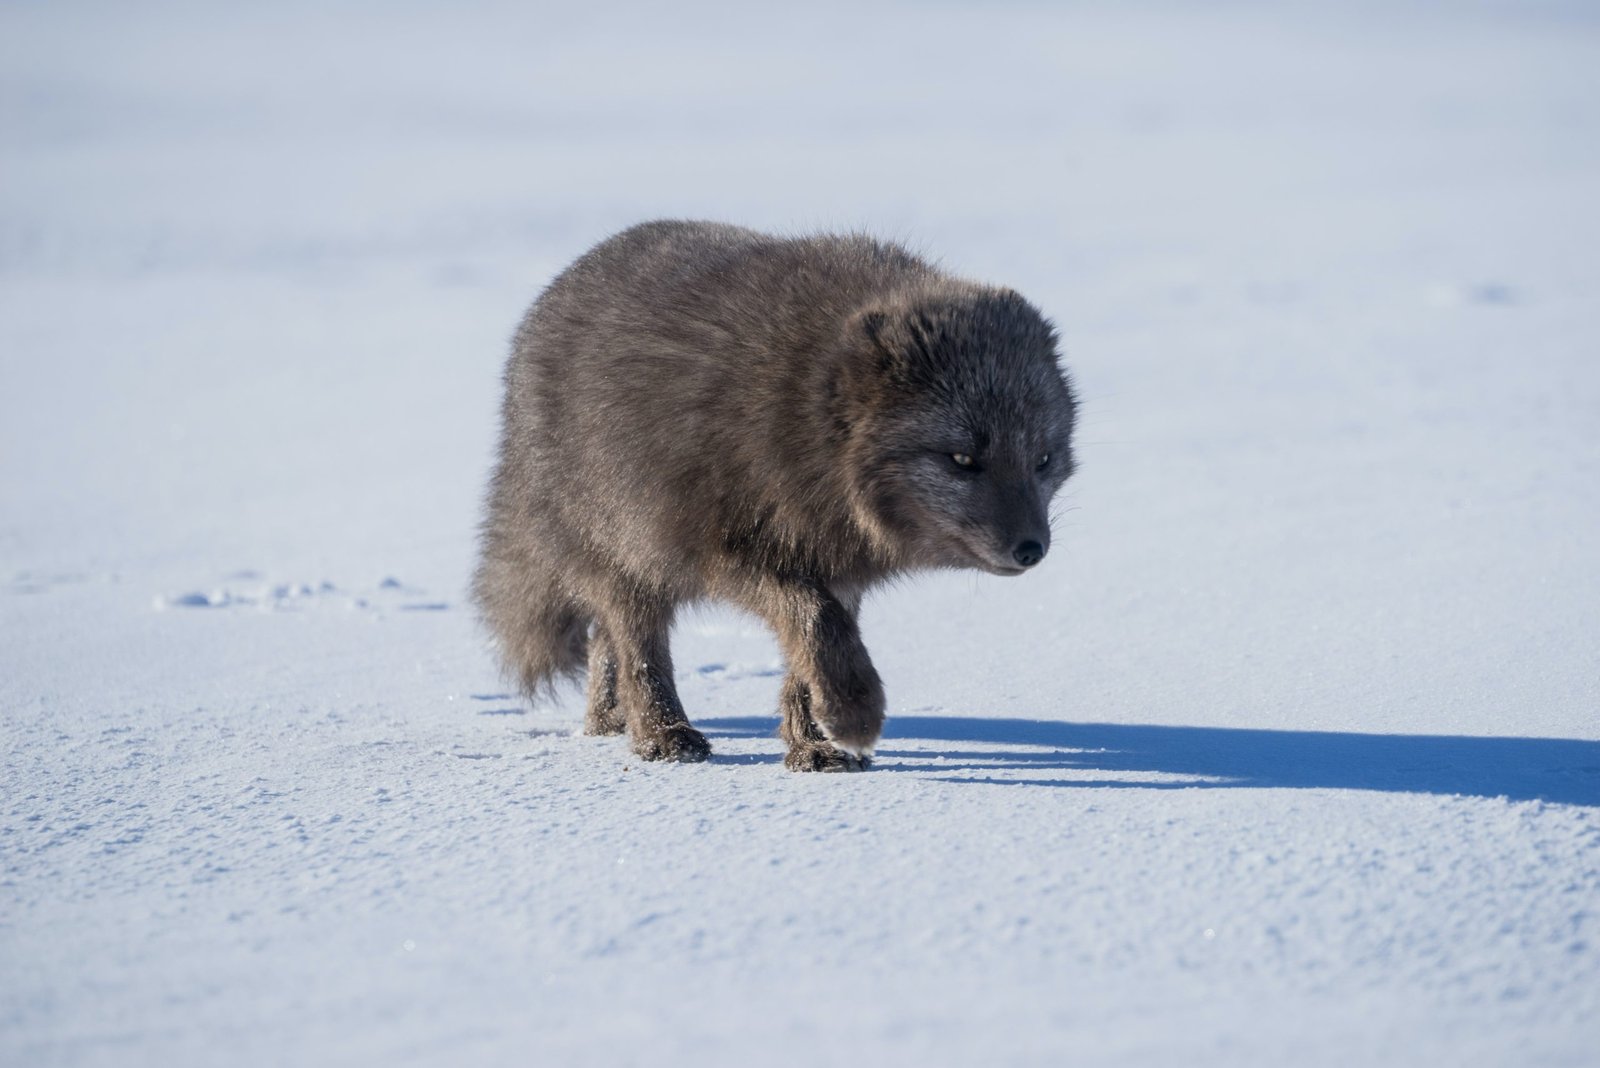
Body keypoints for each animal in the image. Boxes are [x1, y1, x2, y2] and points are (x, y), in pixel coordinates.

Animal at [473, 220, 1075, 770]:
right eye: (963, 459)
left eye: (1043, 460)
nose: (1032, 549)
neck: (808, 414)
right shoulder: (730, 550)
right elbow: (814, 620)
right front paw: (854, 714)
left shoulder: (838, 564)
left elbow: (813, 647)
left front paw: (815, 744)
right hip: (625, 550)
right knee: (636, 642)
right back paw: (662, 736)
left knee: (604, 641)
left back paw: (606, 723)